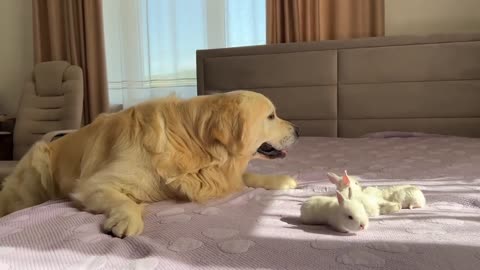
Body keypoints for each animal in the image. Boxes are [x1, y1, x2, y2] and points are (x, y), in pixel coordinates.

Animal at [0, 90, 298, 236]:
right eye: (271, 116)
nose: (298, 130)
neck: (190, 140)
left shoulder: (218, 174)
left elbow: (248, 176)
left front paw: (281, 180)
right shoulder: (93, 184)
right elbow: (127, 201)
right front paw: (126, 220)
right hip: (37, 165)